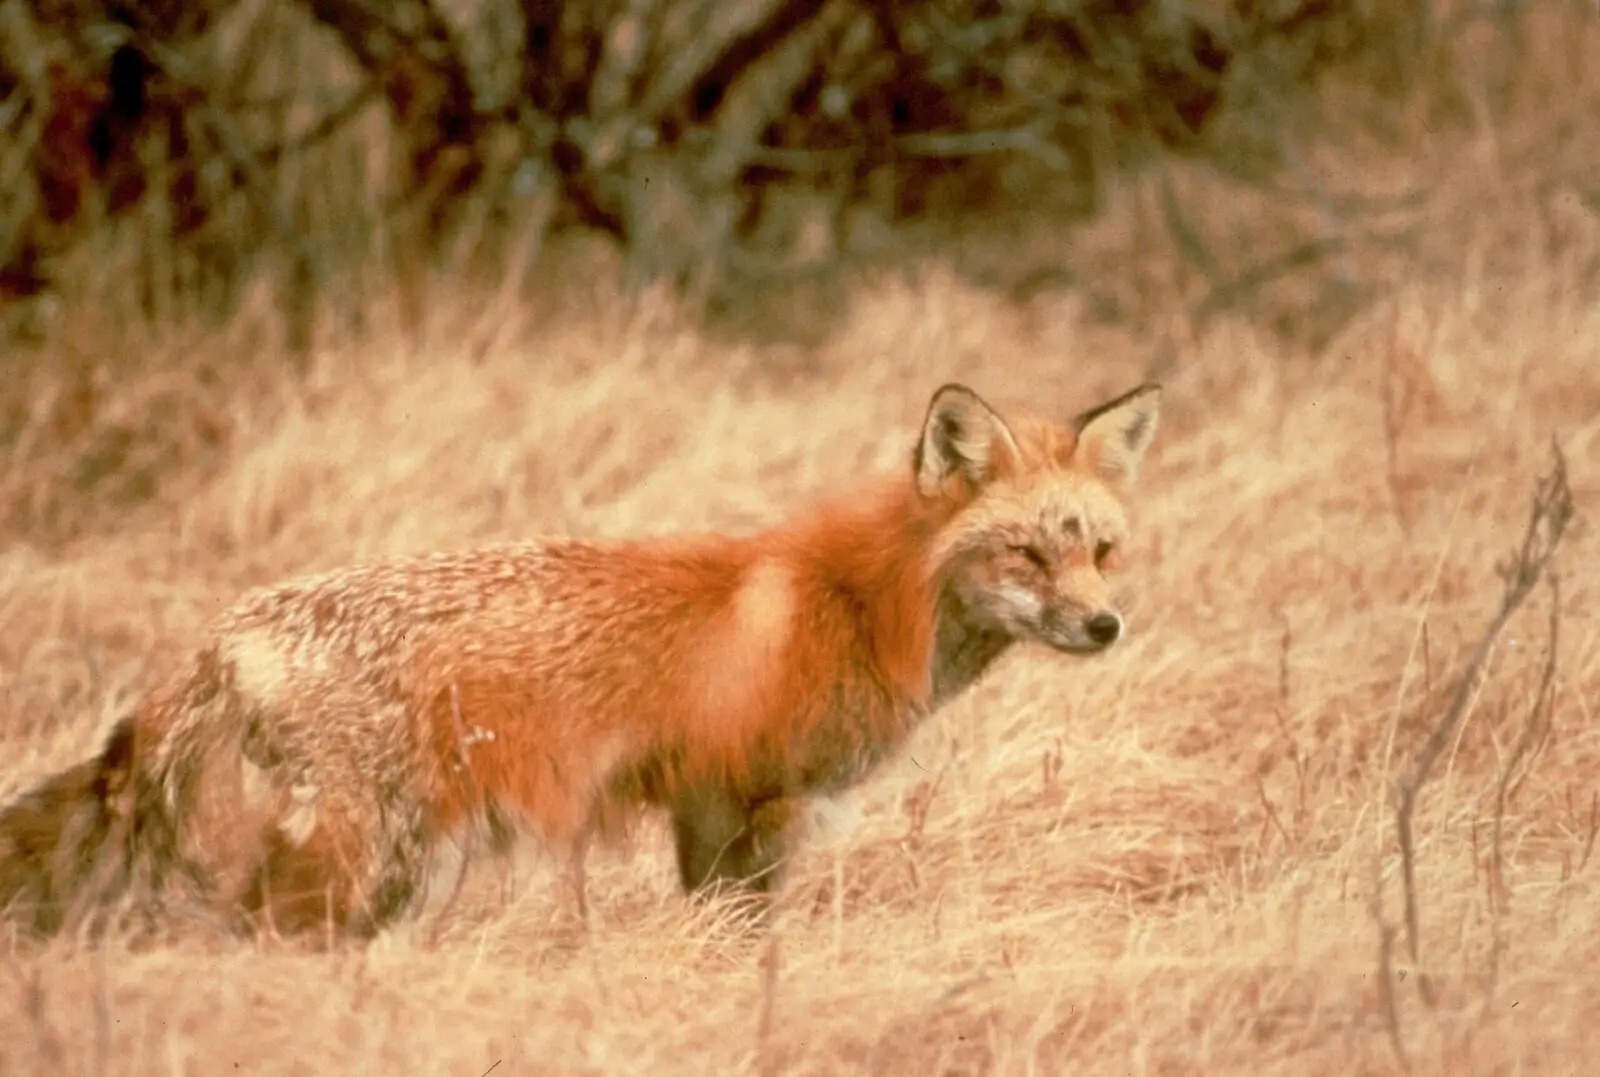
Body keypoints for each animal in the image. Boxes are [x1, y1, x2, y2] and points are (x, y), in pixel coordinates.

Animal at [0, 382, 1164, 934]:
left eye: (1101, 551)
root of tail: (224, 630)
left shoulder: (723, 811)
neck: (856, 601)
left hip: (389, 868)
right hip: (362, 859)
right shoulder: (731, 801)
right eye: (1027, 552)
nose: (1106, 628)